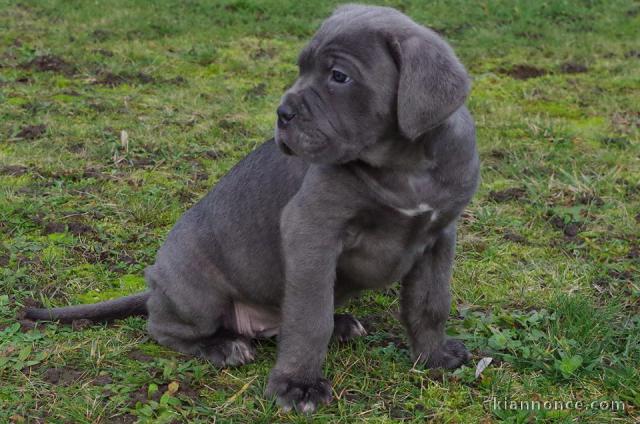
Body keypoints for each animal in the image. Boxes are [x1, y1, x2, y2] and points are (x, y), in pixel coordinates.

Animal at [27, 3, 480, 414]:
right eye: (300, 69)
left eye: (339, 76)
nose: (283, 113)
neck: (404, 166)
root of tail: (155, 282)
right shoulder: (311, 230)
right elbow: (310, 317)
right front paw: (298, 385)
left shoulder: (439, 237)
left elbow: (429, 304)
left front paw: (434, 356)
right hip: (197, 294)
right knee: (164, 325)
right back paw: (223, 346)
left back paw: (340, 325)